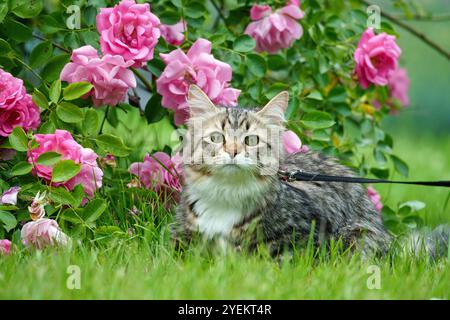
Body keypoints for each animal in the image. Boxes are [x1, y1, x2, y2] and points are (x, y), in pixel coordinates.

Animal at [171, 84, 448, 258]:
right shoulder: (183, 237)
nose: (233, 151)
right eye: (217, 137)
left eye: (251, 140)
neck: (226, 194)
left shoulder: (306, 236)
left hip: (359, 235)